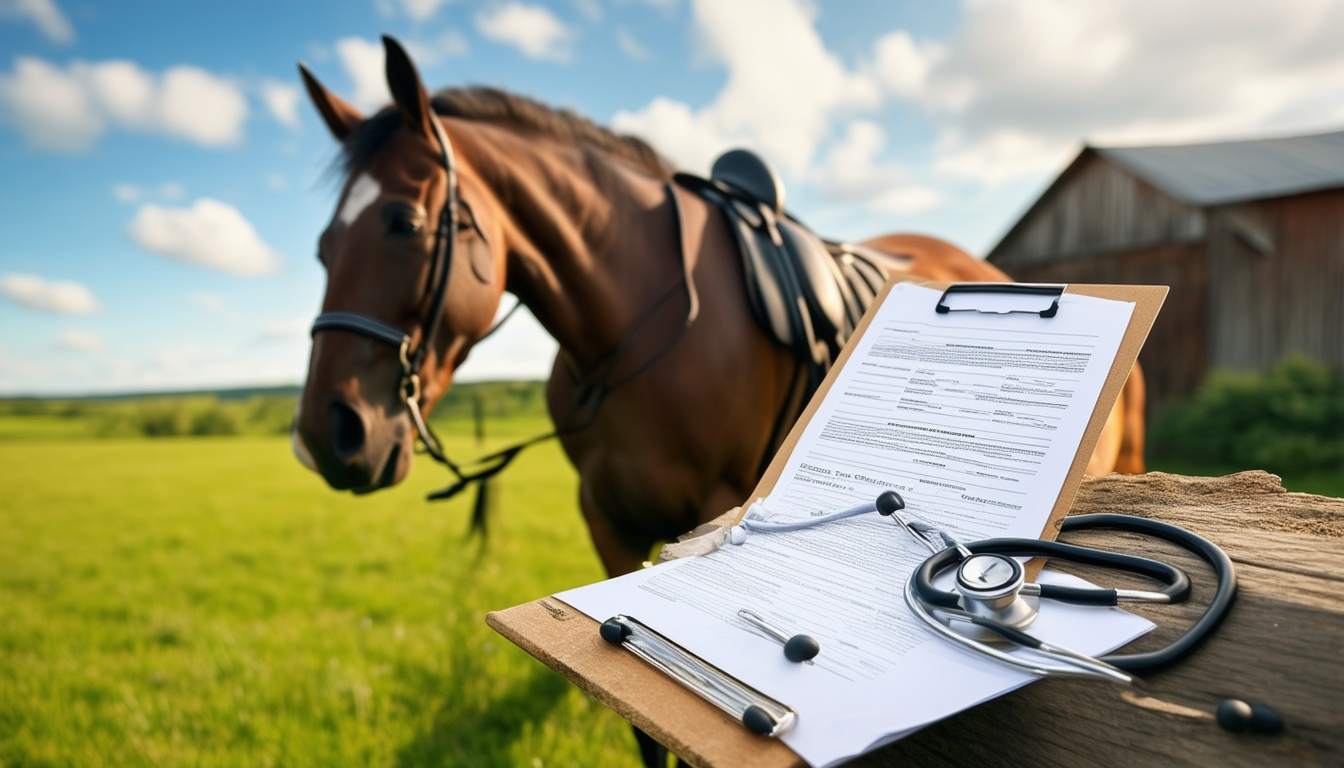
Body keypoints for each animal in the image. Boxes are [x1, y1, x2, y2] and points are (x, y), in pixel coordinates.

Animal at [292, 37, 1147, 581]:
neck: (627, 328)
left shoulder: (708, 511)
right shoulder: (605, 520)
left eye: (403, 223)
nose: (328, 437)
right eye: (323, 246)